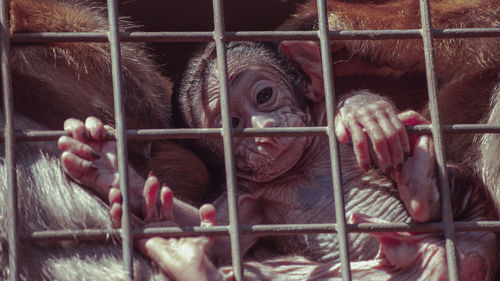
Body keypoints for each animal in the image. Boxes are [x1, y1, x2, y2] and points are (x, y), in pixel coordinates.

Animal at [59, 40, 496, 278]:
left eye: (264, 95)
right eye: (233, 123)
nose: (264, 130)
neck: (301, 167)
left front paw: (364, 111)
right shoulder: (254, 196)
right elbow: (217, 227)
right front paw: (107, 166)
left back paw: (421, 181)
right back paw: (180, 252)